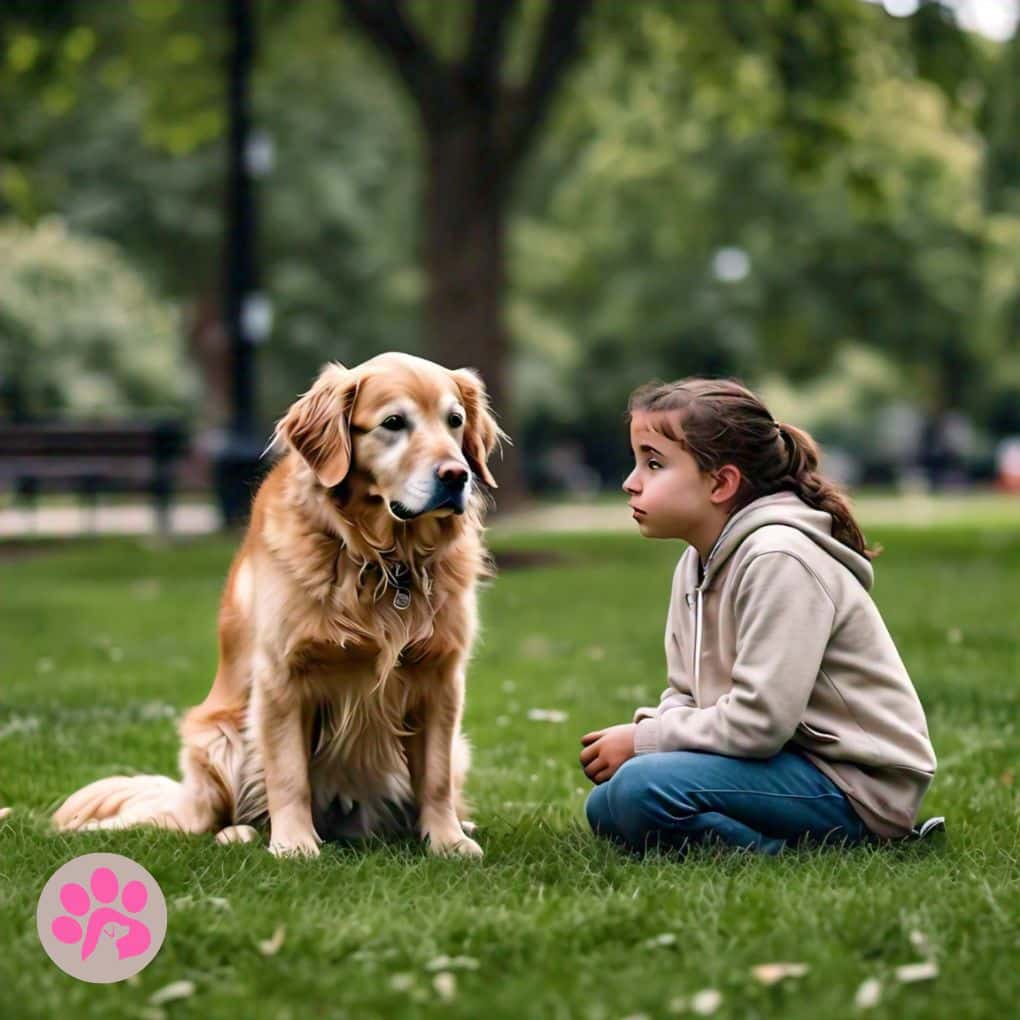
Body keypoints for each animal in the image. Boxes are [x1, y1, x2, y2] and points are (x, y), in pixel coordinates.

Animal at [51, 354, 505, 856]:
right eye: (393, 423)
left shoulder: (441, 678)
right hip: (218, 736)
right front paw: (293, 845)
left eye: (455, 421)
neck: (385, 560)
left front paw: (447, 841)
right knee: (208, 819)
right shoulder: (283, 677)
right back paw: (238, 832)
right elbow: (288, 775)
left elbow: (436, 778)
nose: (457, 475)